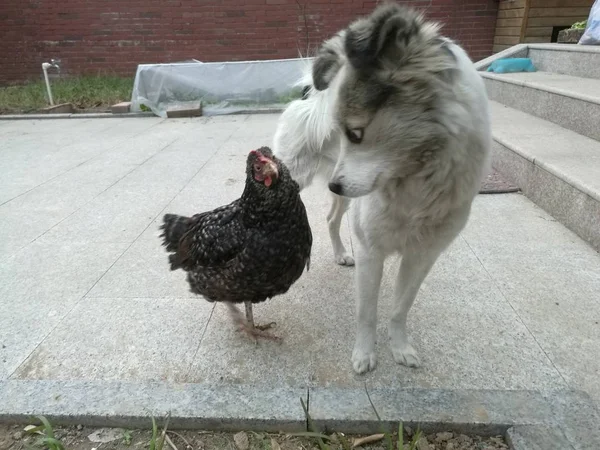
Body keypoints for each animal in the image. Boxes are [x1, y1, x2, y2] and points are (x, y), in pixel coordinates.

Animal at [274, 3, 490, 372]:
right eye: (346, 132)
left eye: (355, 133)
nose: (333, 184)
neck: (416, 182)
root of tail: (308, 99)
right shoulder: (370, 249)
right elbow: (367, 312)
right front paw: (364, 355)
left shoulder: (423, 255)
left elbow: (401, 307)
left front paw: (400, 348)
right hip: (300, 179)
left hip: (348, 197)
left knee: (332, 219)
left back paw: (340, 253)